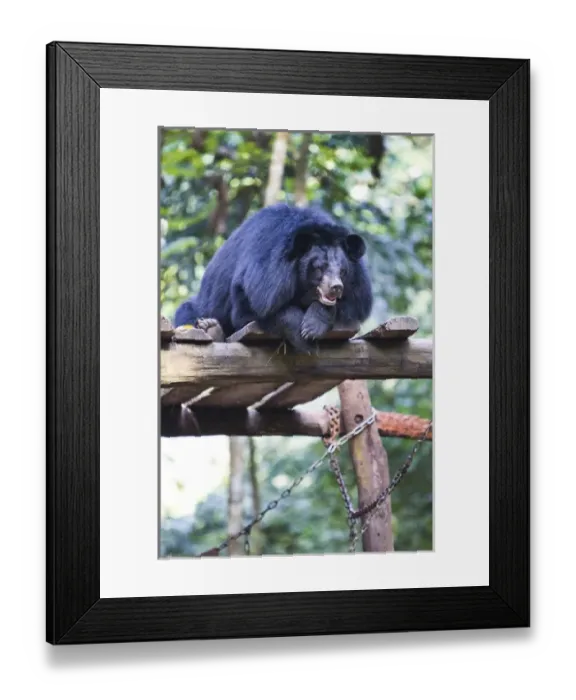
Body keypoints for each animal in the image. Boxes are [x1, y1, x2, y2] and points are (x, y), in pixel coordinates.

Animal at [173, 203, 373, 352]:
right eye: (319, 268)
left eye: (343, 271)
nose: (336, 287)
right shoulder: (261, 278)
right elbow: (257, 310)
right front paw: (302, 336)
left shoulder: (358, 287)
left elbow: (352, 306)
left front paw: (312, 327)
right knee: (188, 311)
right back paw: (211, 328)